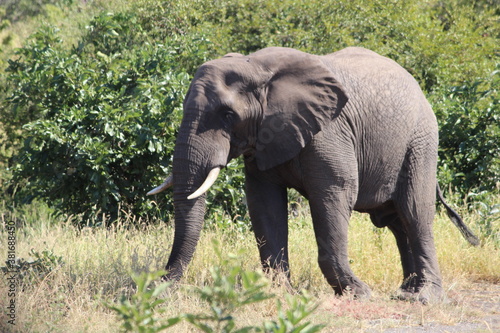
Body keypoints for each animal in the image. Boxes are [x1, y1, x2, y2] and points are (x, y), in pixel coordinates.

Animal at [149, 46, 480, 304]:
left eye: (228, 115)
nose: (155, 288)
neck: (256, 66)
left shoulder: (330, 131)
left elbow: (335, 194)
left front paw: (359, 294)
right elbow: (264, 203)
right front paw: (281, 295)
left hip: (421, 139)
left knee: (414, 212)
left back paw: (424, 298)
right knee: (395, 221)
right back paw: (405, 292)